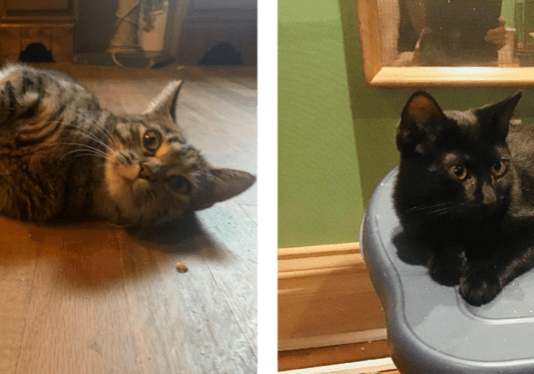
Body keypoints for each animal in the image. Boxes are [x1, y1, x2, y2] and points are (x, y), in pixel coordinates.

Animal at [394, 89, 534, 306]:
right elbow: (432, 235)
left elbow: (509, 252)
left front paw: (480, 280)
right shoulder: (410, 217)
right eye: (458, 171)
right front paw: (448, 262)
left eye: (498, 167)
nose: (490, 198)